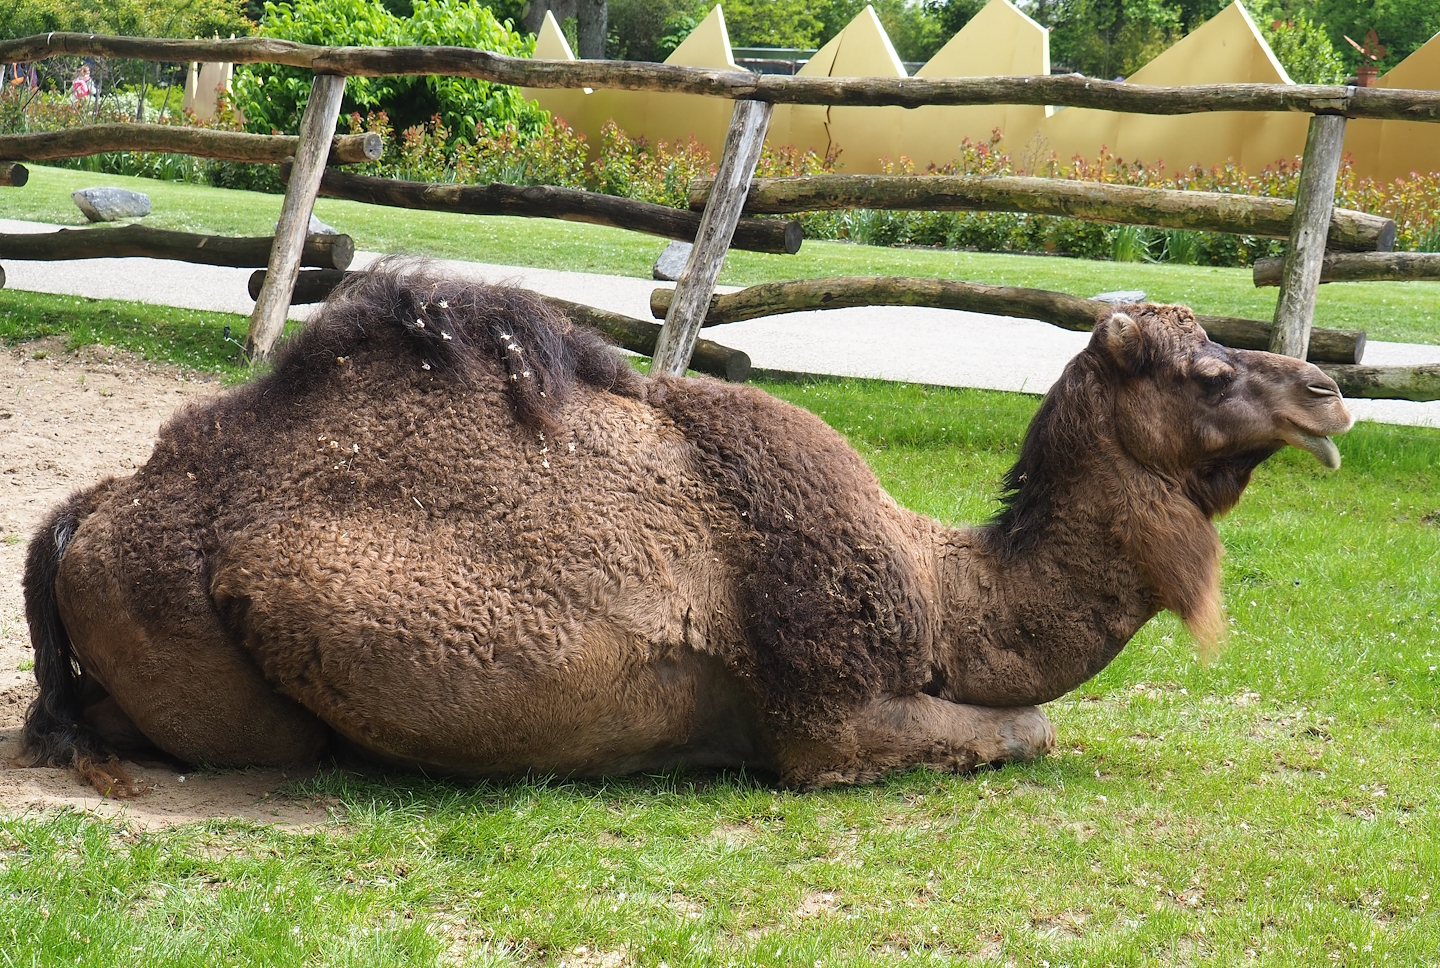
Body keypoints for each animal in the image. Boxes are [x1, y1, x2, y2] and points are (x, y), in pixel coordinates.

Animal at [21, 265, 1353, 790]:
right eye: (1208, 370)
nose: (1328, 392)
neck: (942, 590)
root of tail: (94, 507)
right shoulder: (826, 721)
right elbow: (1028, 727)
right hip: (208, 662)